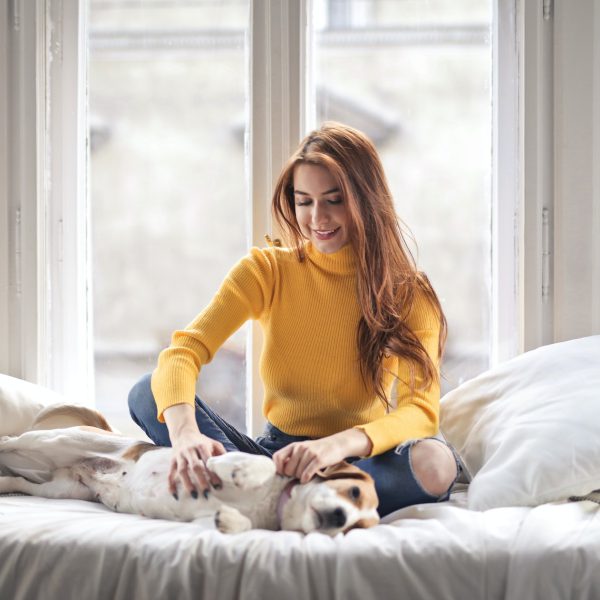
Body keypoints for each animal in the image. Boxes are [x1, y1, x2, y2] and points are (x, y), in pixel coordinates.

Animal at [0, 404, 380, 536]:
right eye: (353, 492)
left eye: (355, 527)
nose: (339, 518)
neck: (273, 504)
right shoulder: (214, 459)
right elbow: (258, 462)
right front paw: (249, 475)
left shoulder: (199, 520)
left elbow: (231, 522)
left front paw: (231, 521)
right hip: (55, 440)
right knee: (11, 441)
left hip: (61, 488)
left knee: (18, 479)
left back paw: (4, 484)